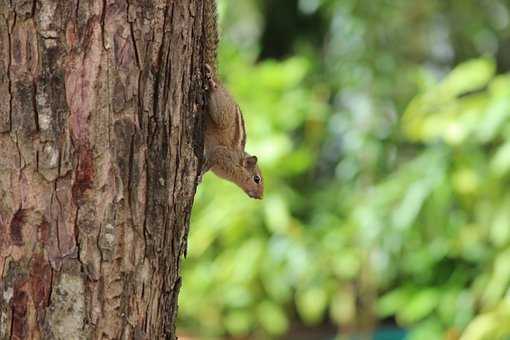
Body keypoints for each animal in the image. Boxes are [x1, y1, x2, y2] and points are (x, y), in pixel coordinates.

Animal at [199, 0, 262, 199]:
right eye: (257, 179)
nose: (260, 197)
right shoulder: (221, 155)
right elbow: (210, 160)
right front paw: (199, 174)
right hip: (221, 111)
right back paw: (211, 84)